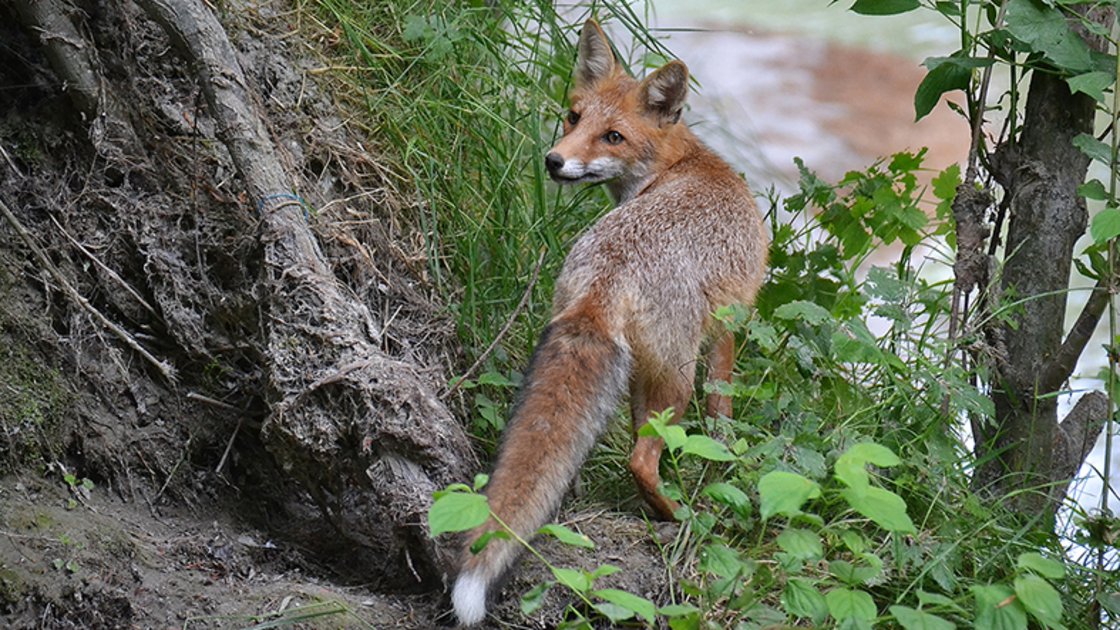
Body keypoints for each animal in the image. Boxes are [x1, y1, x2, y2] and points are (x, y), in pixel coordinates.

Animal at [451, 19, 768, 626]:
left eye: (612, 136)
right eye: (575, 117)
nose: (554, 161)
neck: (678, 165)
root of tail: (606, 276)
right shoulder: (730, 324)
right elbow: (723, 415)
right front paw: (726, 467)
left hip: (641, 371)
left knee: (624, 451)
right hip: (677, 376)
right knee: (640, 459)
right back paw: (675, 515)